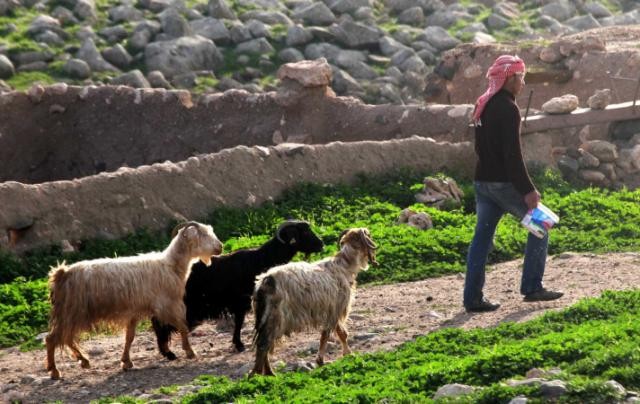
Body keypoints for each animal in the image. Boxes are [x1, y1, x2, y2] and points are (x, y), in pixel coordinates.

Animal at [45, 221, 222, 378]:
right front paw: (190, 351)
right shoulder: (166, 305)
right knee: (53, 338)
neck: (170, 266)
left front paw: (126, 362)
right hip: (73, 311)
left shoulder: (134, 311)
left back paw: (83, 360)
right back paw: (54, 371)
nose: (220, 247)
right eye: (203, 234)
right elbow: (182, 326)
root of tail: (62, 273)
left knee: (65, 337)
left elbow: (129, 337)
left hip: (72, 313)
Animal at [151, 219, 324, 358]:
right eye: (304, 231)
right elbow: (240, 322)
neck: (261, 259)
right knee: (158, 322)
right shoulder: (241, 301)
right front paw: (239, 344)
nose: (321, 244)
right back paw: (168, 353)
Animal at [250, 227, 376, 376]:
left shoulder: (331, 309)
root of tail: (264, 282)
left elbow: (333, 333)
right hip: (275, 317)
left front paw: (329, 358)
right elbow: (336, 334)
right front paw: (343, 355)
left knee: (265, 343)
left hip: (266, 317)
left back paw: (267, 372)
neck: (344, 265)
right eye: (368, 235)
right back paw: (261, 374)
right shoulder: (337, 307)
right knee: (264, 343)